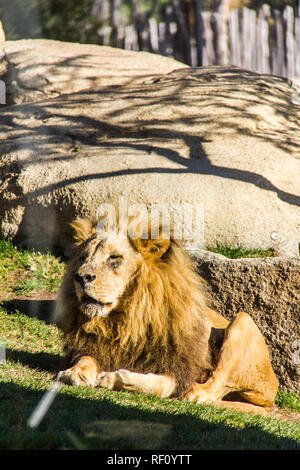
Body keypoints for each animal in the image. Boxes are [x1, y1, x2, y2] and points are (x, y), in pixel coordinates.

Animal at [54, 213, 278, 414]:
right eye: (82, 258)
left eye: (115, 259)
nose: (80, 277)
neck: (124, 320)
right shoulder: (95, 346)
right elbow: (86, 359)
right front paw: (76, 372)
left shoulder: (177, 369)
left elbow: (158, 384)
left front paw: (111, 378)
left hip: (243, 320)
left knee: (213, 388)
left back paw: (194, 392)